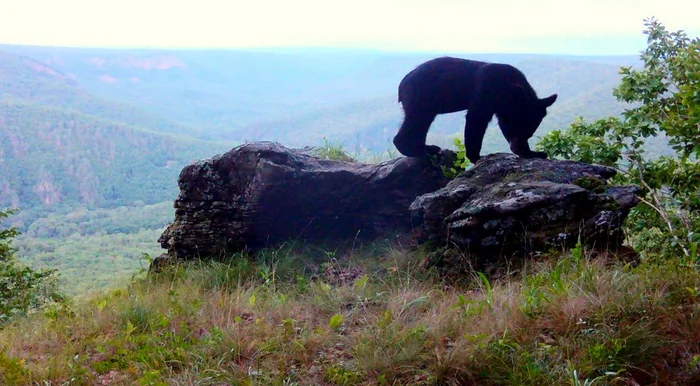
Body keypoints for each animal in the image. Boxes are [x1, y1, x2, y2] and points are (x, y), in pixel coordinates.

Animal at [394, 56, 556, 164]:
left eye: (530, 132)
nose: (518, 146)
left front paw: (532, 153)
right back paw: (419, 149)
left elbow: (501, 124)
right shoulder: (486, 93)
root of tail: (402, 85)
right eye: (520, 125)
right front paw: (477, 157)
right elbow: (476, 120)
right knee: (416, 122)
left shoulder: (502, 108)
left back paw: (426, 148)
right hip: (422, 99)